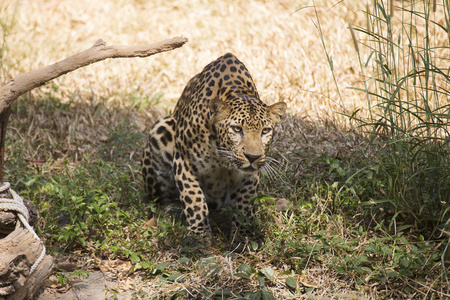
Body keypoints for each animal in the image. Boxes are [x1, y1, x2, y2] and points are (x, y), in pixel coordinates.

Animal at [142, 52, 286, 248]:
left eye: (265, 131)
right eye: (237, 129)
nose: (253, 157)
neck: (223, 157)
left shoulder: (249, 175)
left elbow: (244, 204)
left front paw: (242, 236)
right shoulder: (184, 161)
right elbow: (194, 199)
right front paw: (200, 236)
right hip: (161, 129)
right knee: (161, 198)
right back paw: (172, 209)